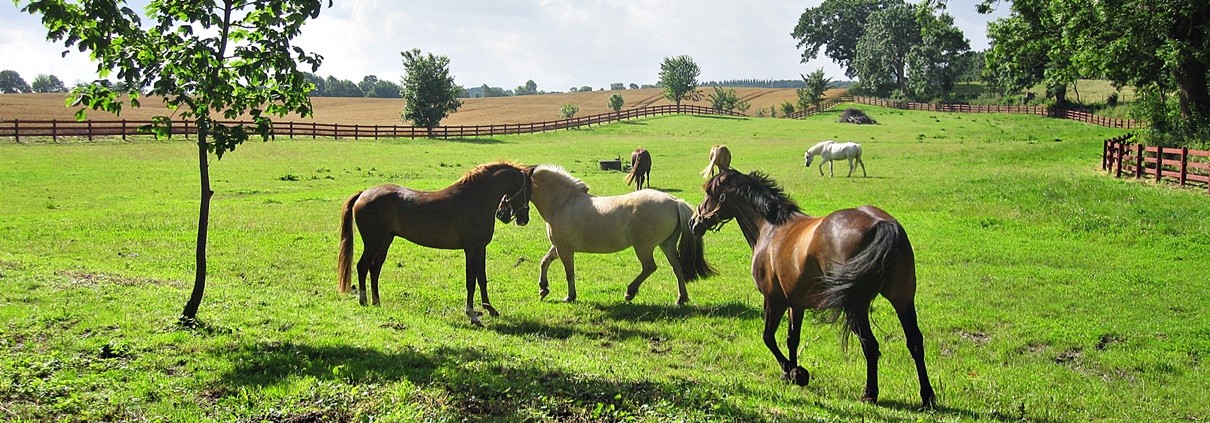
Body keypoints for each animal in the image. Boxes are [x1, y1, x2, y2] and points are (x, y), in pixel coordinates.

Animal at [338, 160, 532, 326]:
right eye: (527, 191)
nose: (523, 219)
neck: (474, 199)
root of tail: (363, 193)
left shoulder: (480, 249)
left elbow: (481, 279)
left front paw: (490, 309)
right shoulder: (472, 249)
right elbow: (471, 281)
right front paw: (472, 315)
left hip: (385, 241)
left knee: (375, 268)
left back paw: (376, 301)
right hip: (373, 242)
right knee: (363, 266)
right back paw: (363, 300)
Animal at [527, 164, 706, 304]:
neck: (563, 202)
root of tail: (674, 202)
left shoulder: (565, 249)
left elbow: (569, 273)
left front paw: (569, 297)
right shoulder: (559, 247)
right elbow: (545, 262)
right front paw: (543, 289)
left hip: (643, 247)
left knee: (650, 267)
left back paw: (630, 292)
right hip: (666, 245)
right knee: (677, 267)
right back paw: (681, 298)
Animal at [692, 169, 934, 410]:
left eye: (709, 192)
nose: (695, 222)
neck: (771, 230)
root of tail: (881, 224)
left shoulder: (774, 301)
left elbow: (768, 337)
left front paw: (795, 373)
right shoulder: (795, 304)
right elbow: (792, 339)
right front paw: (791, 373)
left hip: (856, 307)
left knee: (870, 345)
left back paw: (870, 393)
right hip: (902, 299)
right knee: (914, 342)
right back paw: (927, 396)